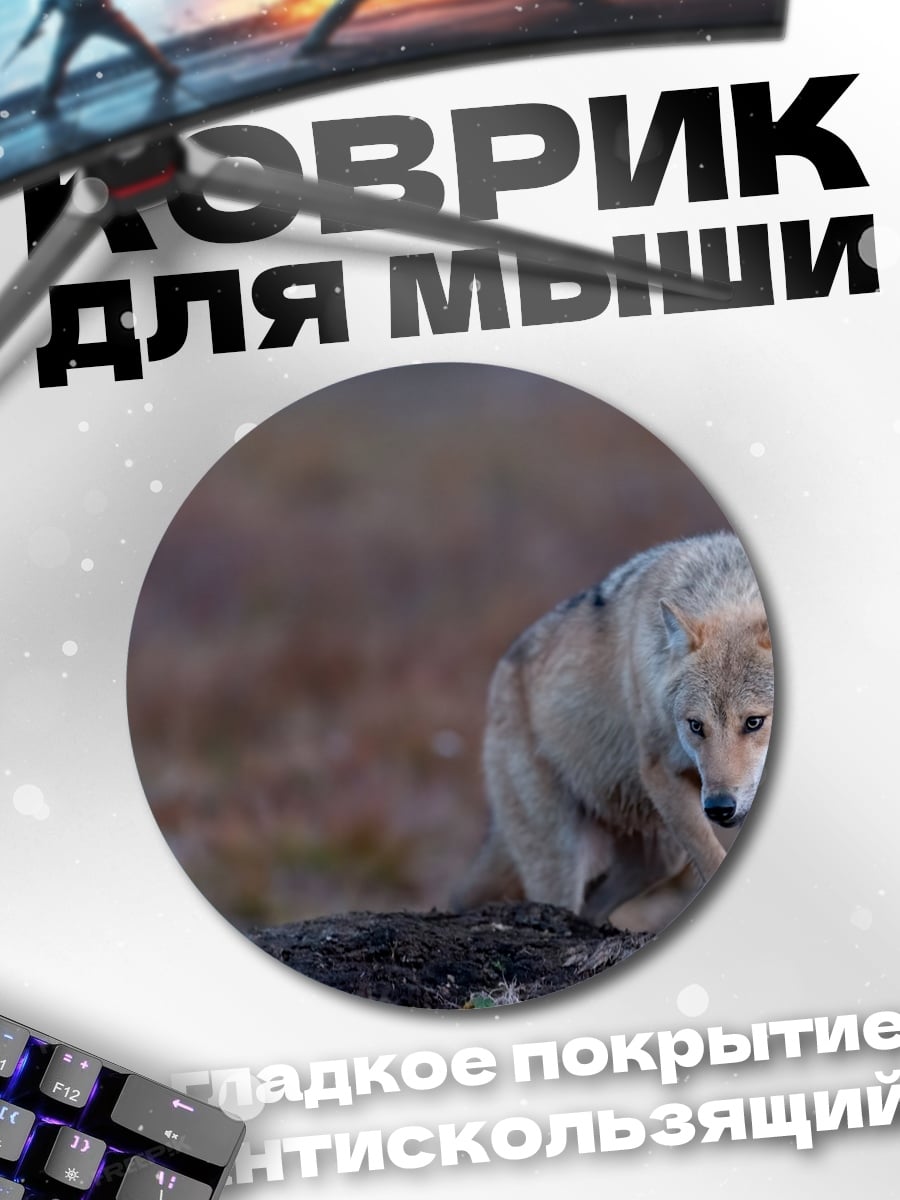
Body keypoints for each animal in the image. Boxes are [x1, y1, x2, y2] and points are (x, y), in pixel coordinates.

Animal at [452, 531, 773, 933]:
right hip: (564, 853)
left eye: (753, 722)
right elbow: (713, 861)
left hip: (659, 852)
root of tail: (501, 671)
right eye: (696, 726)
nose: (719, 808)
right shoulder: (659, 770)